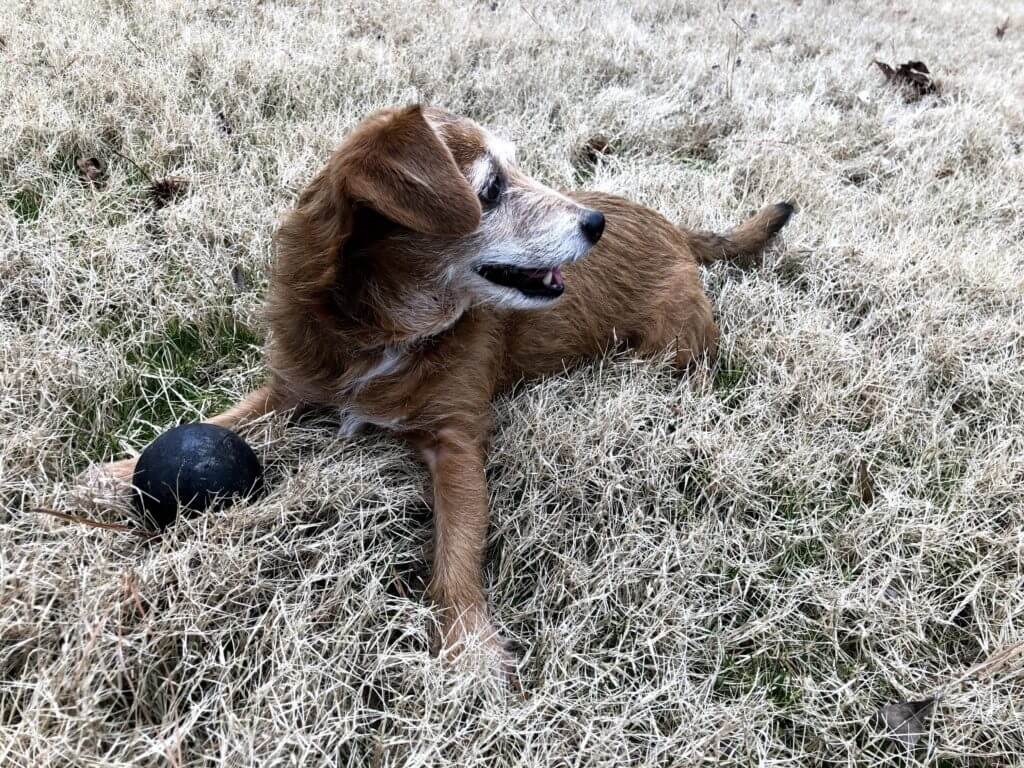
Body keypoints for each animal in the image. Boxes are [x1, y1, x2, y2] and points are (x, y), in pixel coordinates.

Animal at [94, 103, 790, 684]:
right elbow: (230, 419)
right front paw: (120, 470)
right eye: (491, 190)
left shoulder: (456, 441)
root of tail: (675, 228)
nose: (595, 223)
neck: (384, 327)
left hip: (669, 350)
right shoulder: (291, 386)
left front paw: (467, 643)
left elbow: (457, 548)